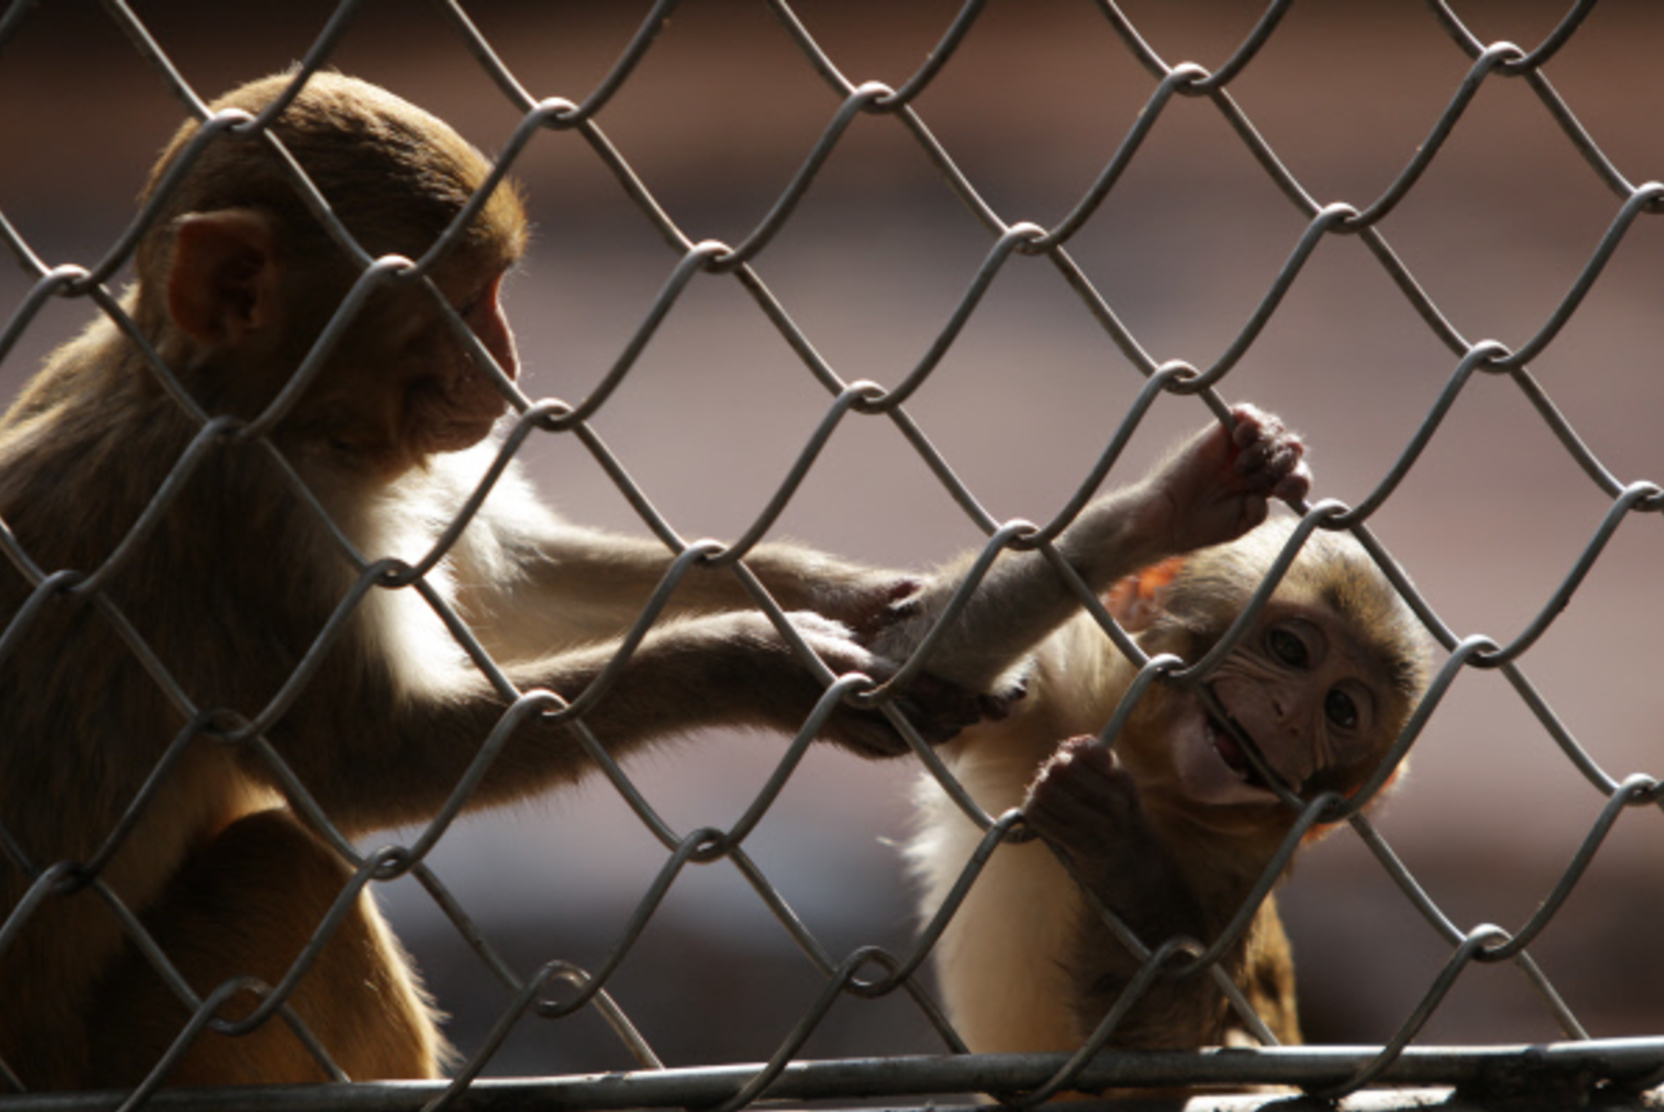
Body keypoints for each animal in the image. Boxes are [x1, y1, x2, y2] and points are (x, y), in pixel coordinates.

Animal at [0, 71, 985, 1085]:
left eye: (493, 292)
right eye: (463, 303)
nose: (507, 370)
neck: (244, 408)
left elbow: (514, 592)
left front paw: (835, 595)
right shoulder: (245, 519)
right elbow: (370, 761)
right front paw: (758, 664)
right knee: (283, 869)